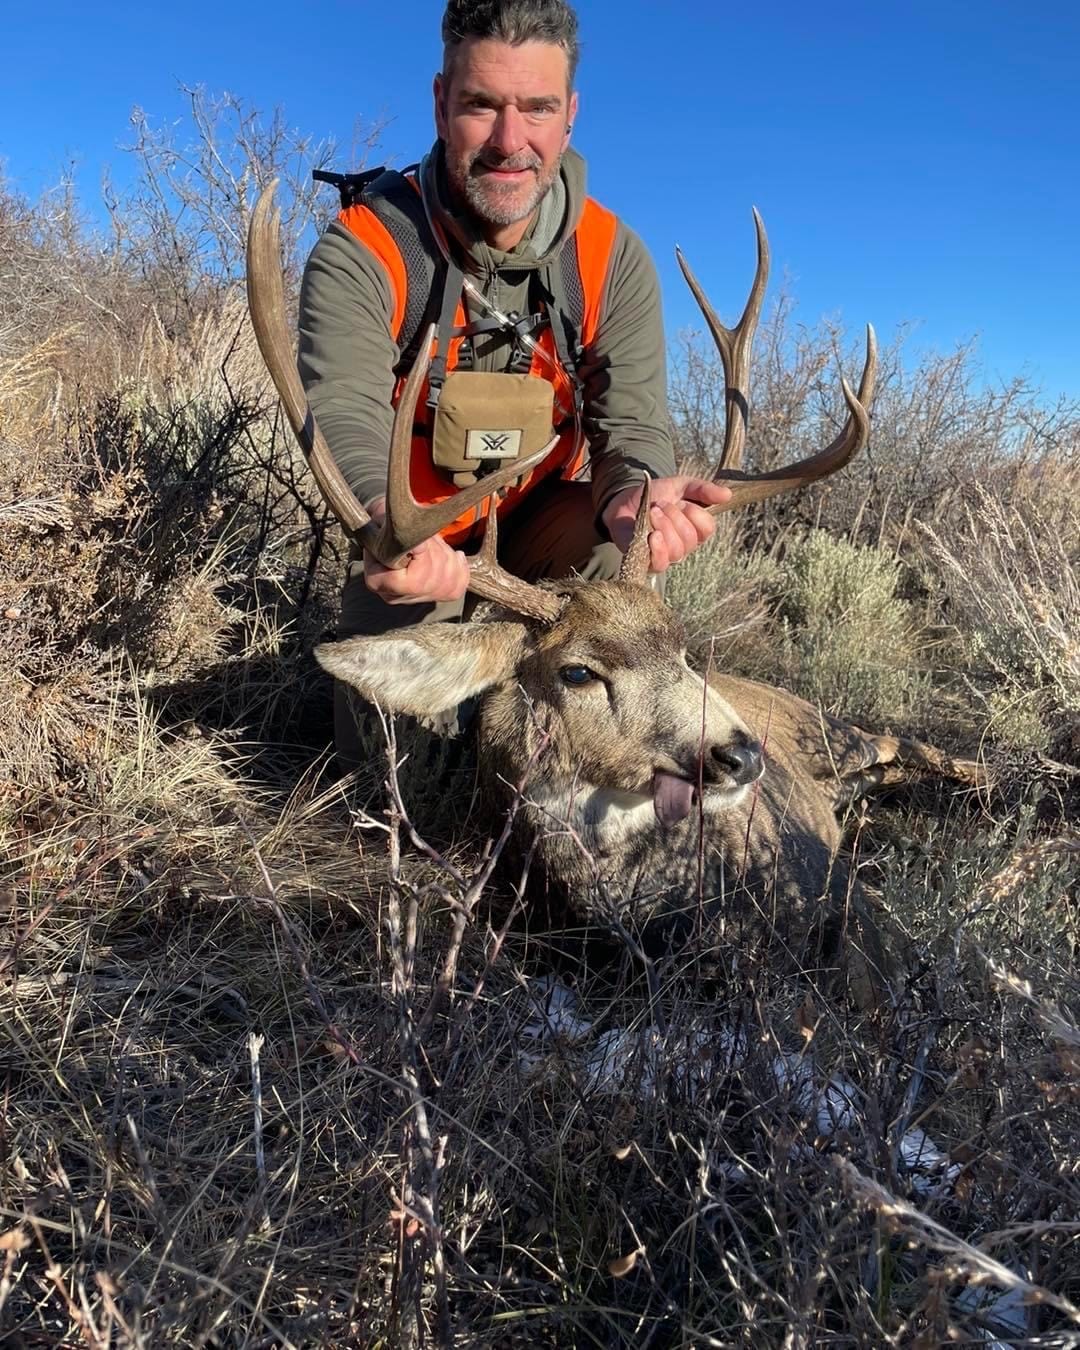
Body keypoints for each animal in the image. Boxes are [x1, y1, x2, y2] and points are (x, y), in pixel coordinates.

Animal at [247, 186, 982, 1005]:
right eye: (577, 671)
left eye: (683, 648)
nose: (740, 755)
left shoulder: (830, 890)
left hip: (830, 723)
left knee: (922, 750)